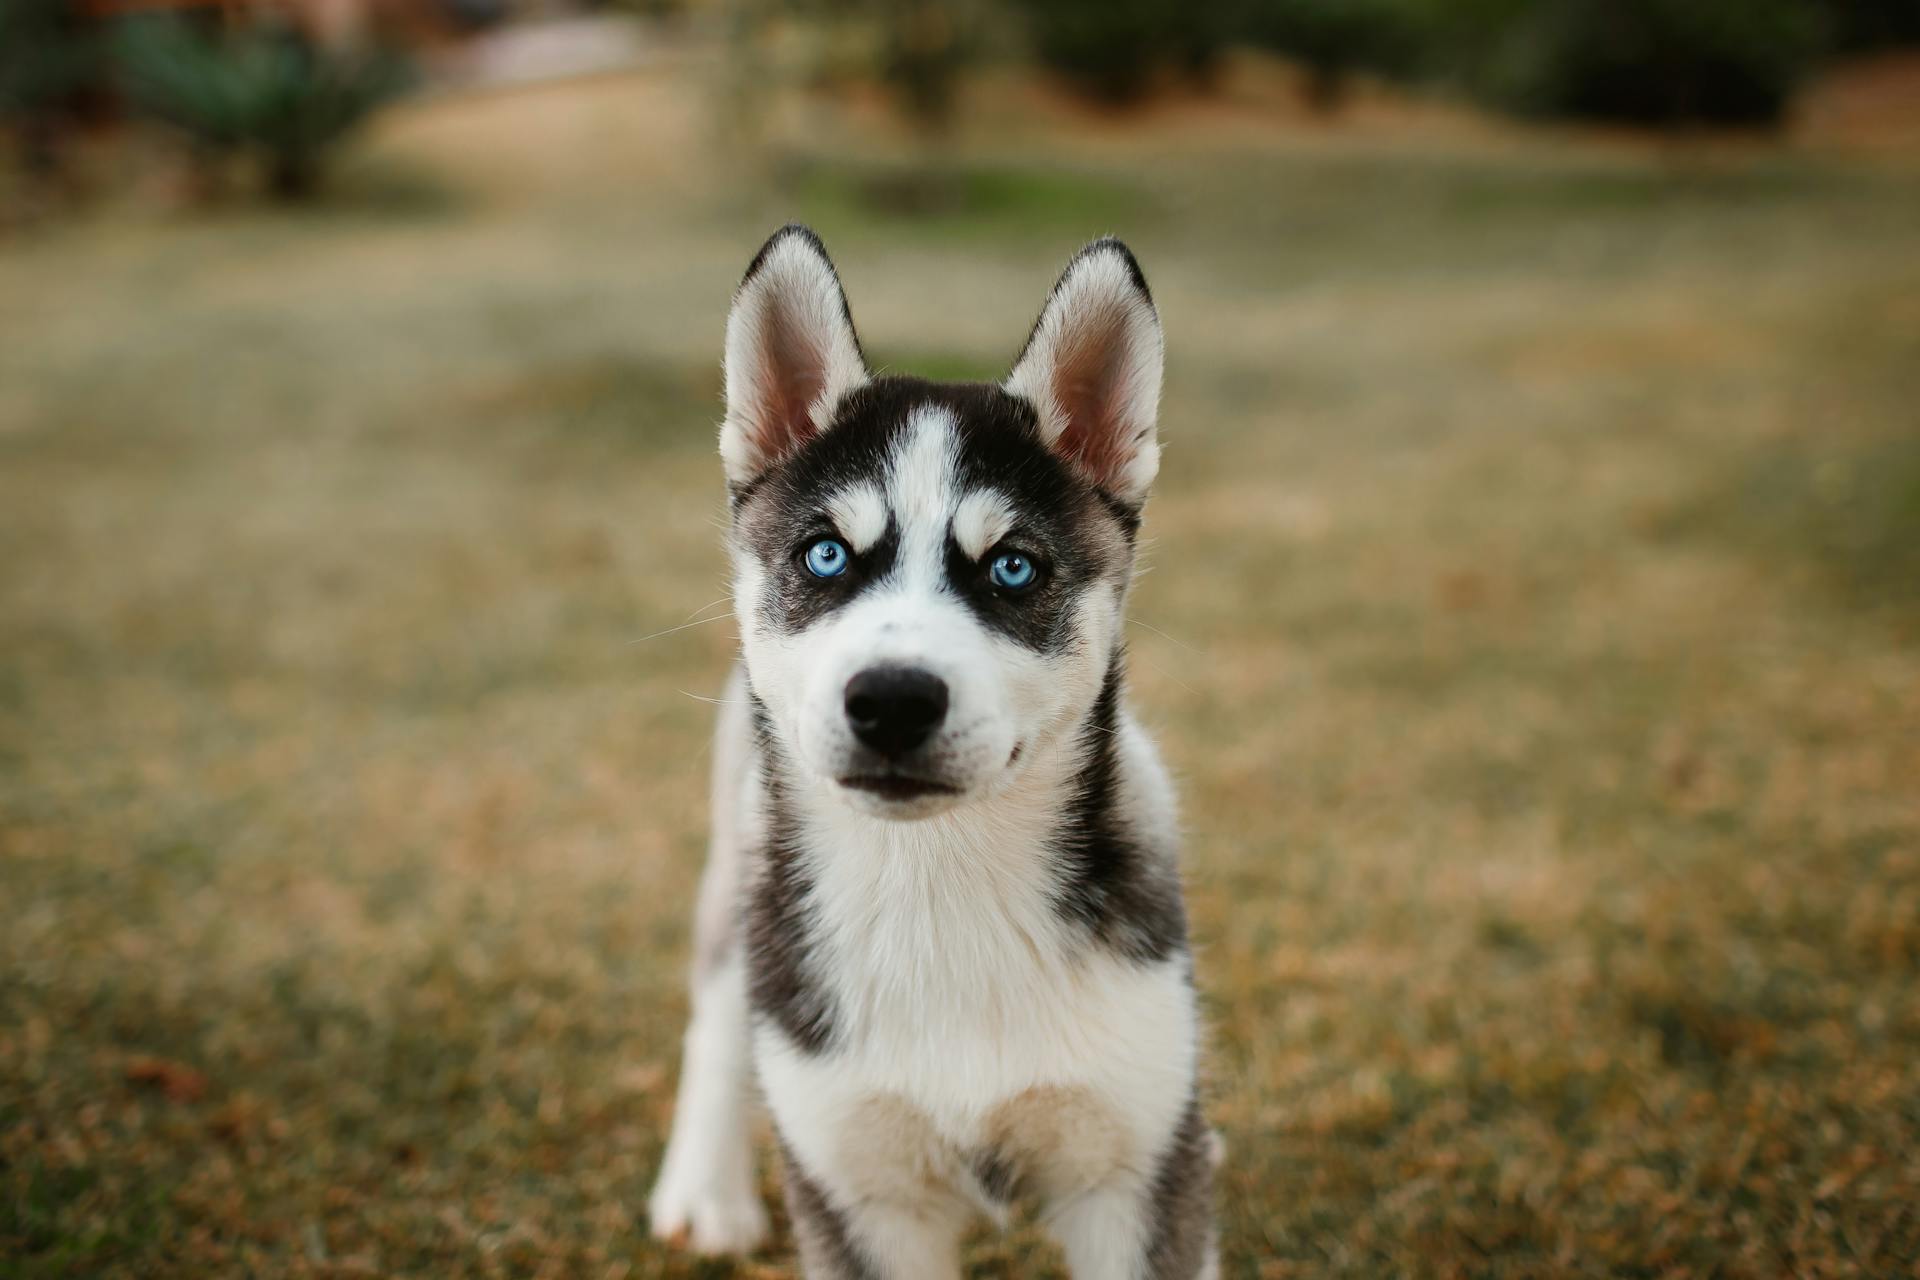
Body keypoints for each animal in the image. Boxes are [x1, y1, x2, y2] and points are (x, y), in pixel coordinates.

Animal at [645, 230, 1213, 1280]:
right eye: (826, 555)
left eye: (1013, 567)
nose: (893, 699)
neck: (935, 880)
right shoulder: (863, 1192)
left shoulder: (1140, 1164)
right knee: (720, 1001)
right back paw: (706, 1190)